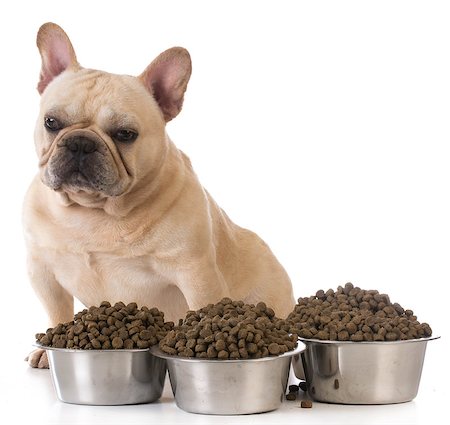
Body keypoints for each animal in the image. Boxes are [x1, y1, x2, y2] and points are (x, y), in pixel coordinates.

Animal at [26, 24, 298, 368]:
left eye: (125, 134)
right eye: (51, 122)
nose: (81, 143)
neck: (94, 211)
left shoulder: (196, 274)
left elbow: (202, 311)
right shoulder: (42, 270)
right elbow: (57, 311)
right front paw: (47, 350)